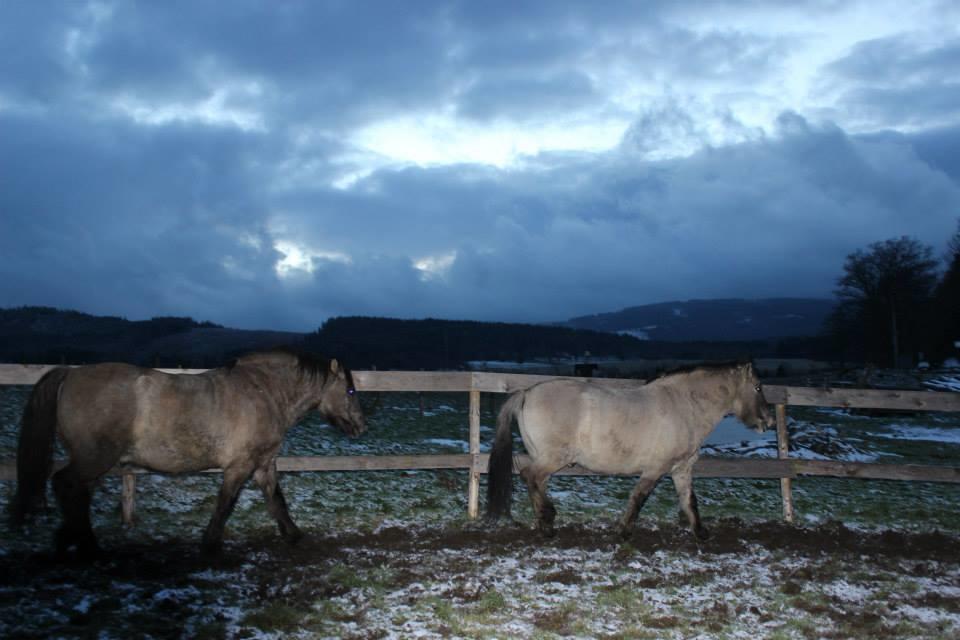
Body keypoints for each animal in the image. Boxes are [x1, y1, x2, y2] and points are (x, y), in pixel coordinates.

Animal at [10, 350, 364, 556]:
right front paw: (210, 543)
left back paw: (73, 539)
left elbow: (276, 500)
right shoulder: (240, 465)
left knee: (76, 491)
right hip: (95, 458)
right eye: (349, 390)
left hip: (94, 461)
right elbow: (225, 504)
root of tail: (70, 373)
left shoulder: (264, 464)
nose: (361, 426)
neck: (264, 392)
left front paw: (294, 535)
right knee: (65, 484)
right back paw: (82, 542)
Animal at [488, 362, 772, 536]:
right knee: (529, 476)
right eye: (758, 387)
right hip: (553, 457)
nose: (767, 422)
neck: (683, 406)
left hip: (544, 457)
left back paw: (544, 524)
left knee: (537, 482)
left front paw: (701, 534)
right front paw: (623, 531)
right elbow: (639, 498)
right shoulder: (656, 469)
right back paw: (547, 521)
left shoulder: (681, 469)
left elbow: (689, 500)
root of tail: (526, 392)